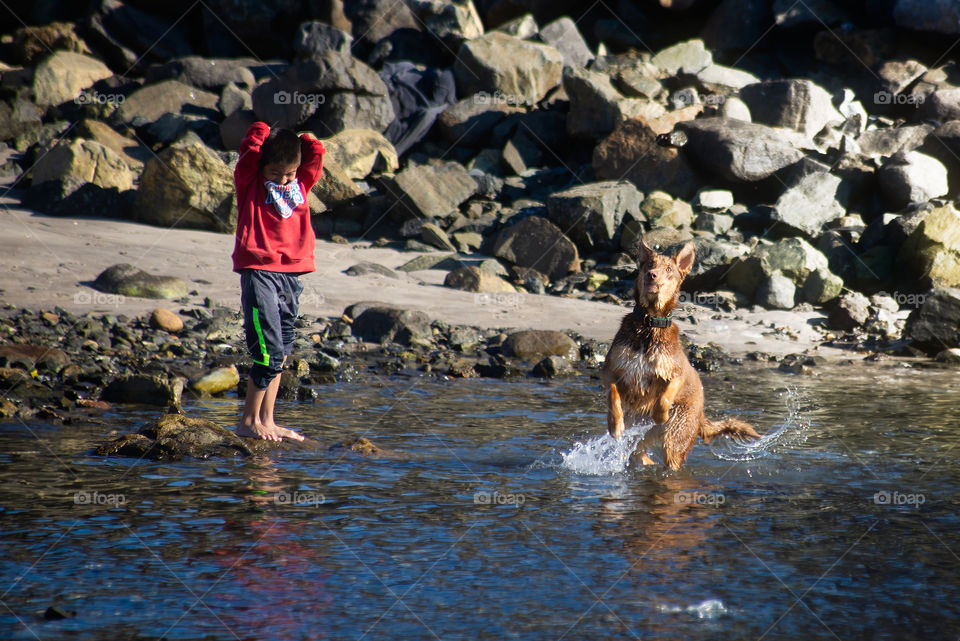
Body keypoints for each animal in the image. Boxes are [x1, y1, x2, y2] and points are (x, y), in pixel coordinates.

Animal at [604, 238, 760, 468]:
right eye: (649, 264)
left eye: (668, 269)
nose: (652, 275)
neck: (650, 324)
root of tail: (701, 415)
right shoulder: (612, 370)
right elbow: (613, 395)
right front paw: (615, 425)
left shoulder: (676, 372)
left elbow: (665, 396)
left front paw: (660, 415)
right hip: (640, 438)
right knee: (640, 455)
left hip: (675, 442)